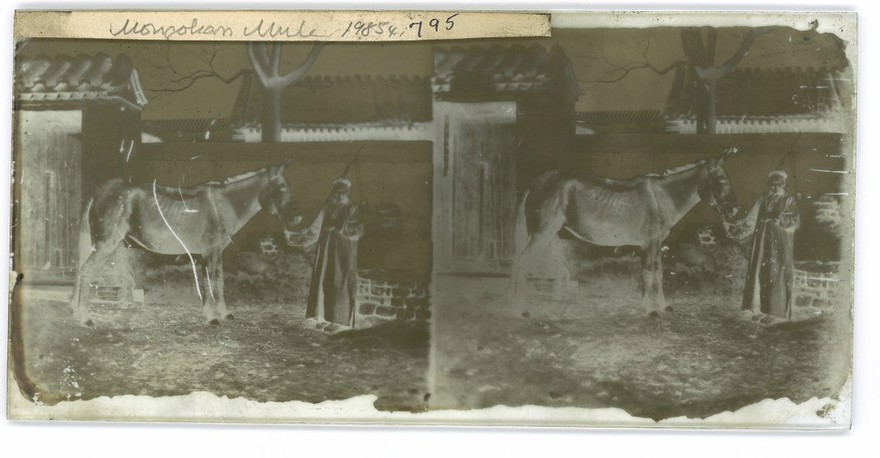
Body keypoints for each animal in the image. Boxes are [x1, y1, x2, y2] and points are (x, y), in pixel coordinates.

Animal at [70, 161, 302, 326]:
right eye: (282, 189)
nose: (297, 220)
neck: (222, 206)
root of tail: (99, 191)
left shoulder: (214, 253)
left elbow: (218, 282)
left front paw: (224, 313)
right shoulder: (210, 251)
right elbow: (210, 281)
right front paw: (212, 316)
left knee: (81, 271)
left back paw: (76, 311)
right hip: (106, 244)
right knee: (87, 271)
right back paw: (85, 317)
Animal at [512, 148, 740, 316]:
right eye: (721, 181)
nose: (735, 211)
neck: (661, 197)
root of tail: (538, 181)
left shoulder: (657, 243)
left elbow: (659, 273)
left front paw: (663, 305)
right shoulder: (648, 242)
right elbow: (648, 272)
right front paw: (650, 308)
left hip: (551, 236)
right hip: (542, 234)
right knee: (523, 263)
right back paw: (520, 306)